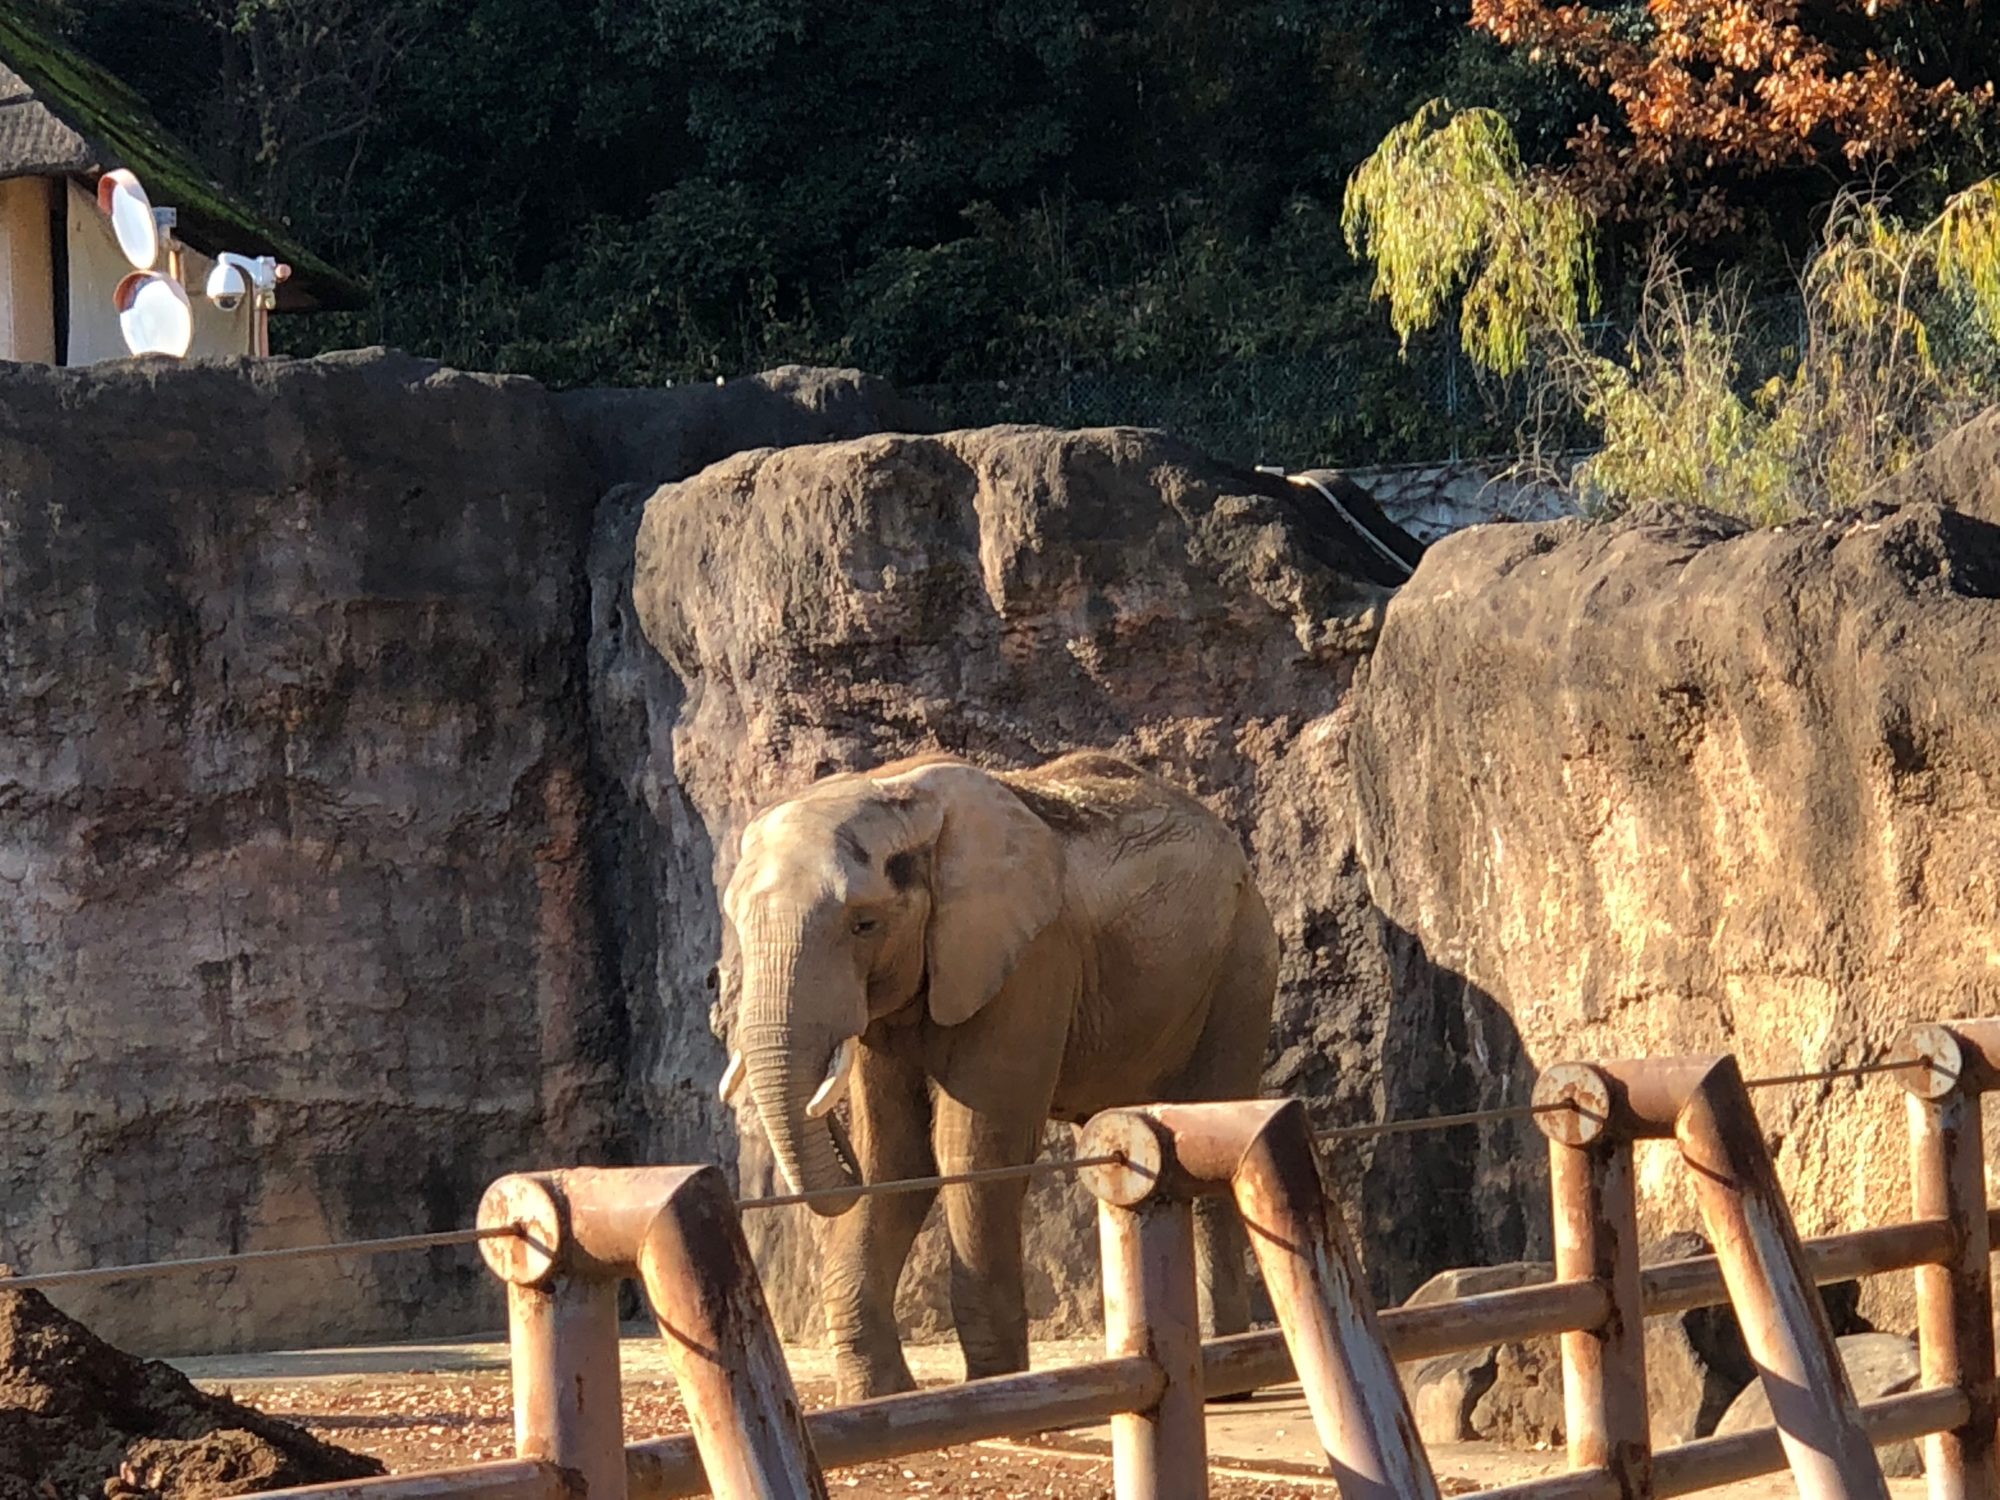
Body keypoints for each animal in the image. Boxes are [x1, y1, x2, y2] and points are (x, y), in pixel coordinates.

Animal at [716, 752, 1280, 1408]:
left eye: (864, 924)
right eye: (736, 924)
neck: (899, 797)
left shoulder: (1030, 960)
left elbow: (976, 1148)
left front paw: (999, 1391)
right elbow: (896, 1156)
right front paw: (880, 1399)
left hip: (1242, 964)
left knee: (1210, 1116)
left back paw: (1224, 1378)